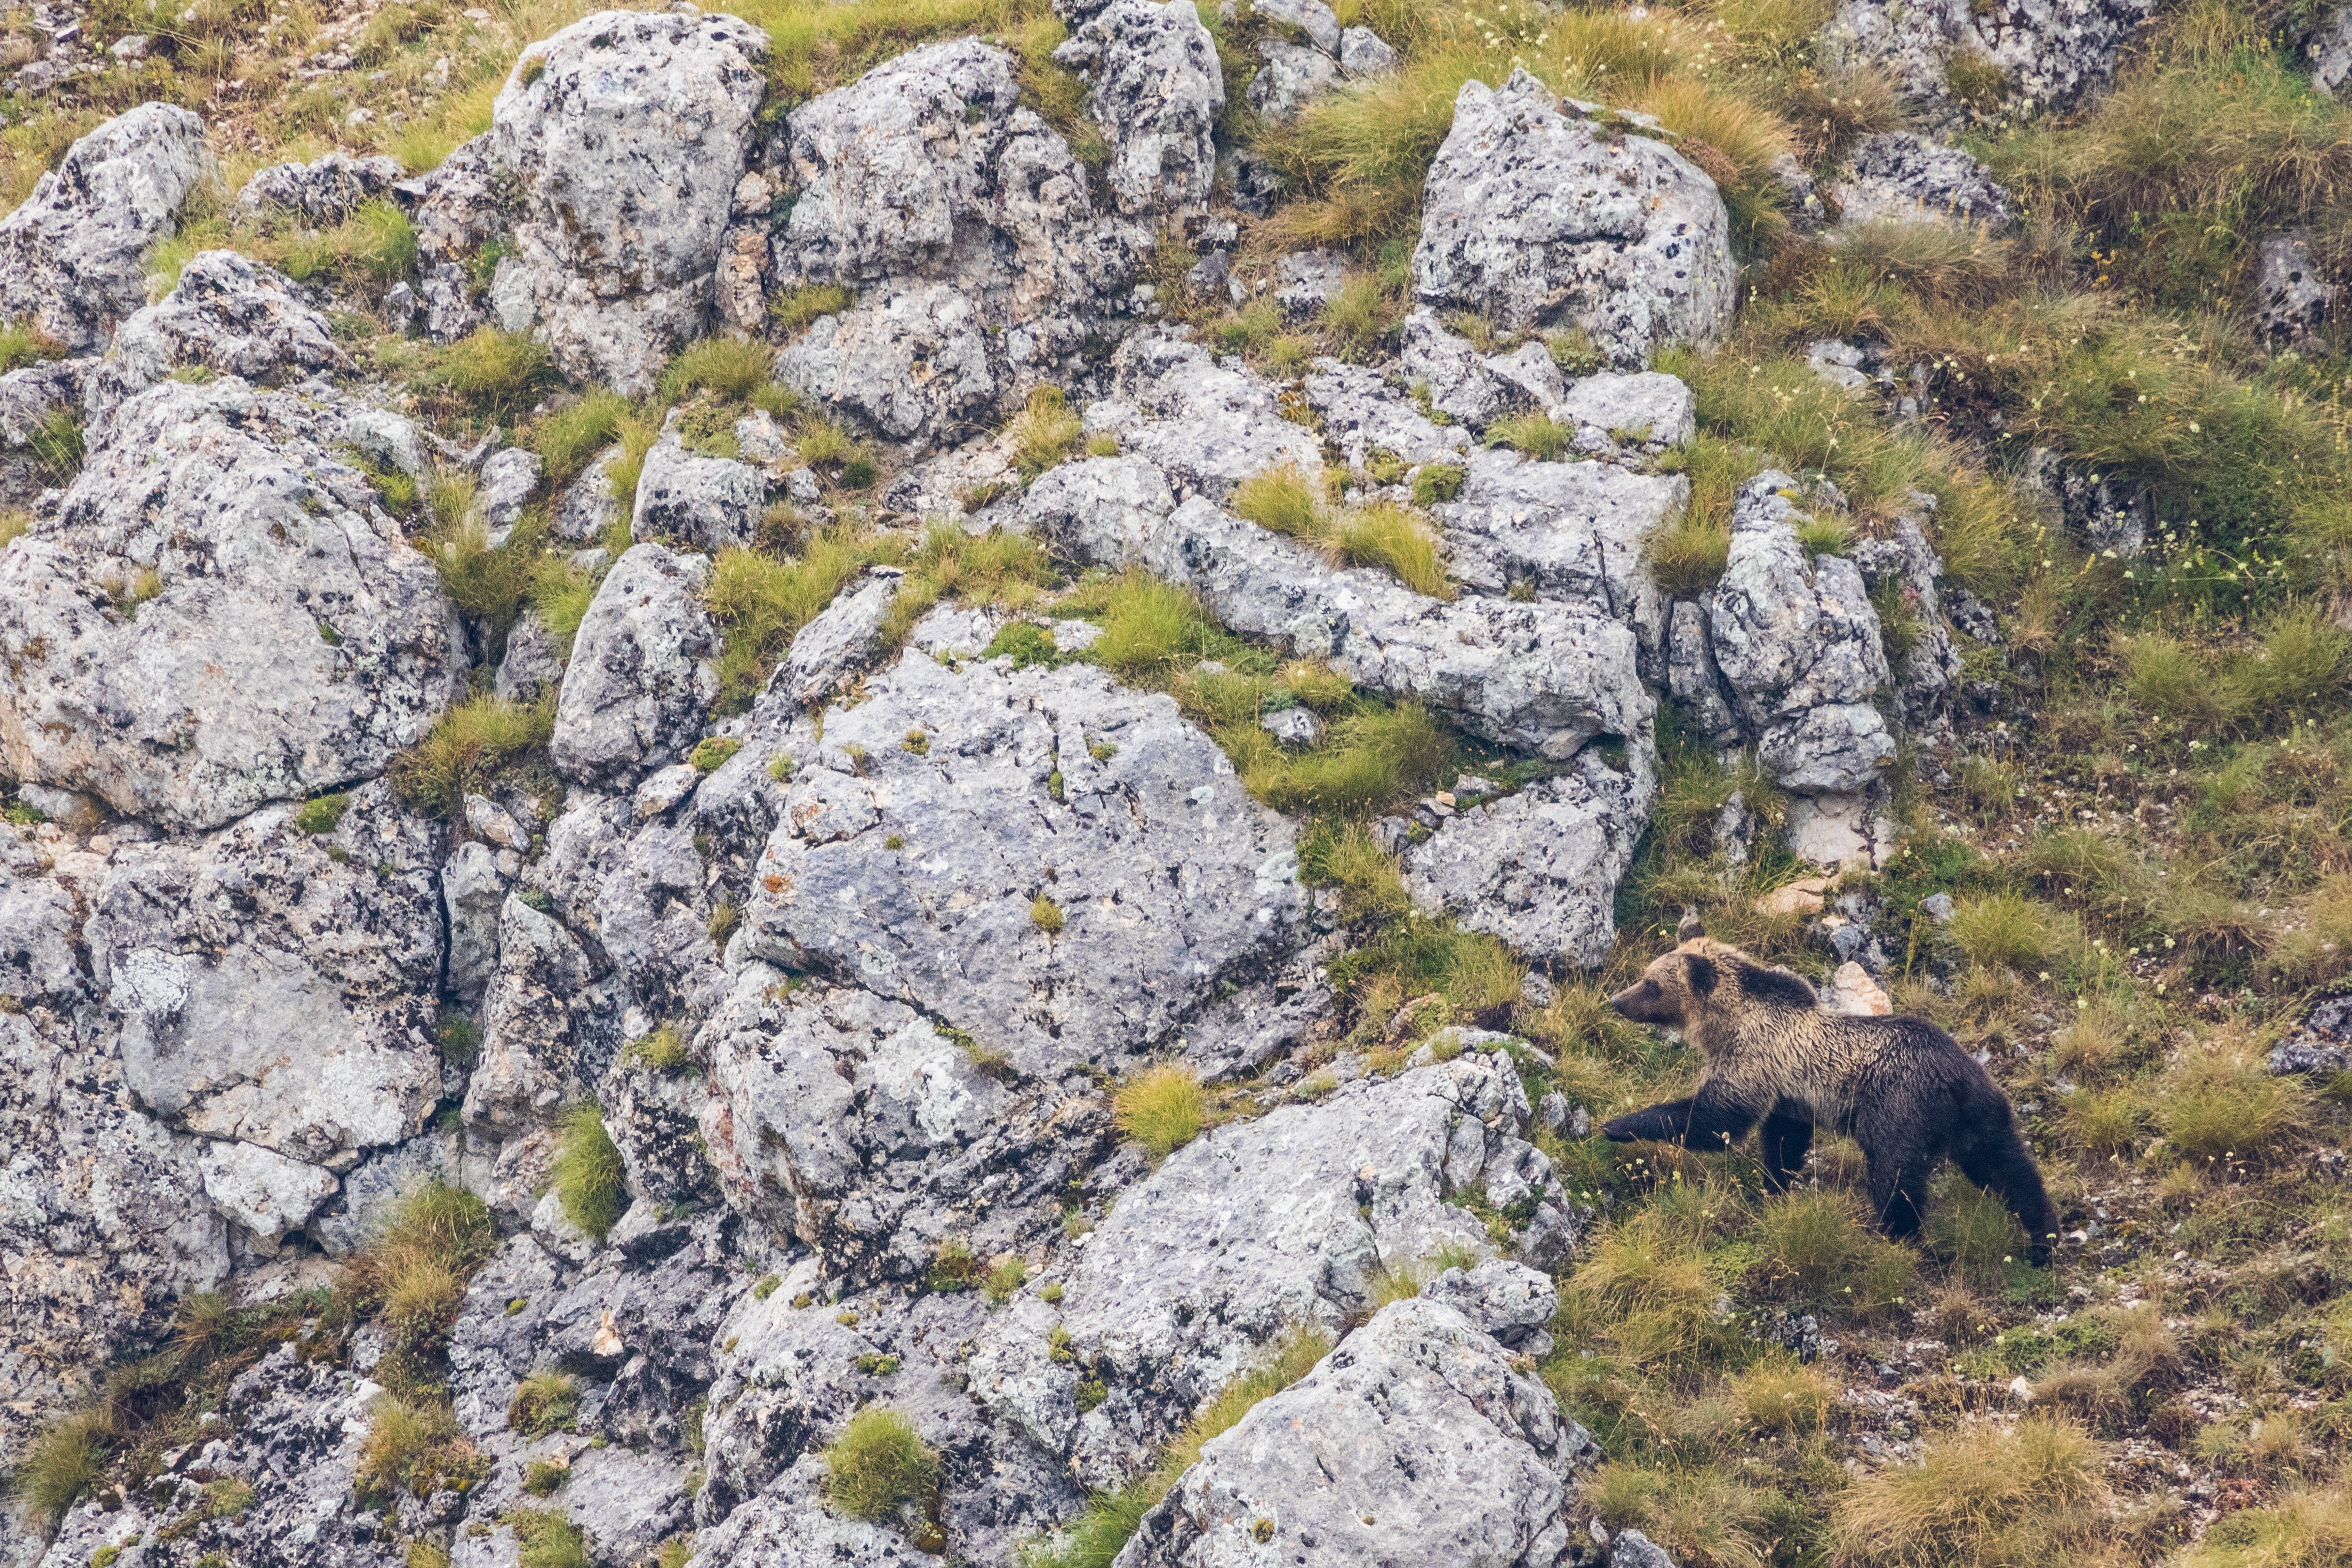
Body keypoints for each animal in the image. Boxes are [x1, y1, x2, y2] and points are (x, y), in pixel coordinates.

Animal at [1598, 915, 2056, 1265]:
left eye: (1651, 983)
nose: (1616, 1000)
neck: (1727, 1024)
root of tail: (1956, 1073)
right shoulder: (1788, 1093)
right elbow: (1783, 1141)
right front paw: (1773, 1188)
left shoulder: (1751, 1058)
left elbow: (1716, 1119)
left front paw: (1618, 1124)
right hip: (1979, 1112)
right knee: (2008, 1168)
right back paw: (2042, 1239)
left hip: (1897, 1107)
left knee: (1895, 1176)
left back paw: (1893, 1235)